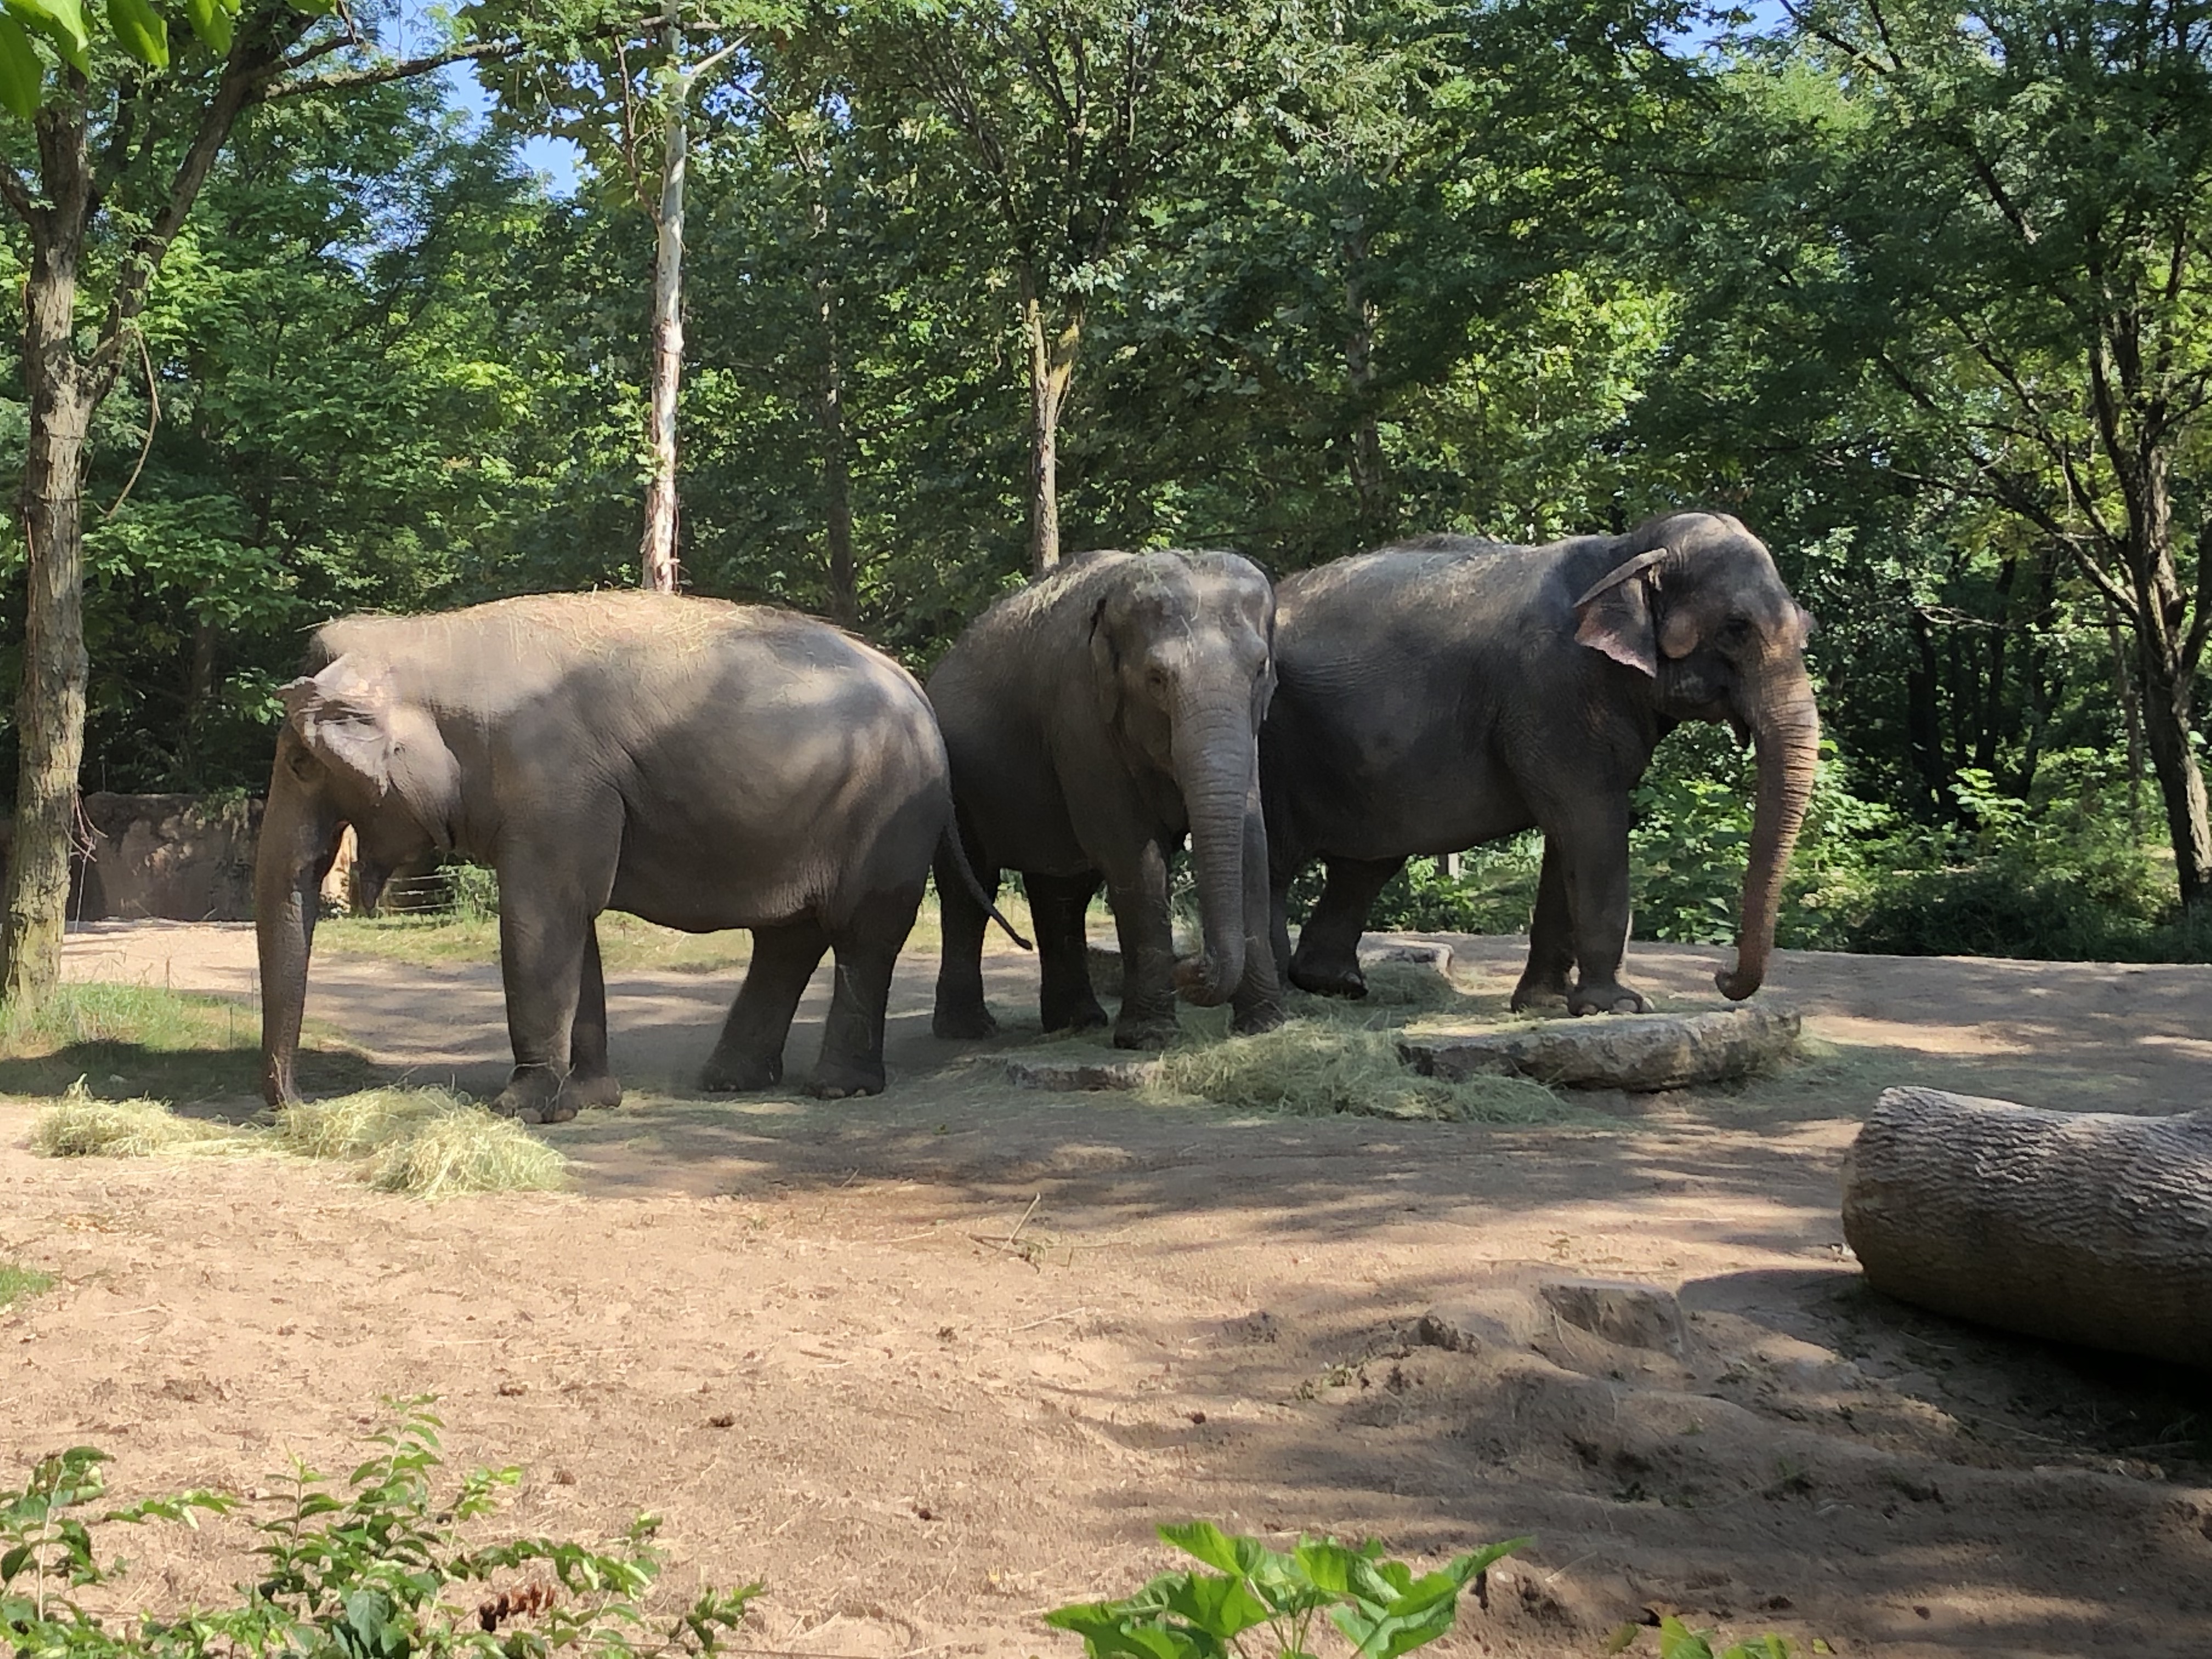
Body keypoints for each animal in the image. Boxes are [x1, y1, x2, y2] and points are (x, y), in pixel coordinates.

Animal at [257, 590, 991, 1119]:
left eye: (300, 763)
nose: (296, 1107)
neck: (424, 638)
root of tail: (919, 690)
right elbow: (573, 924)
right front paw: (586, 1103)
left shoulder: (557, 787)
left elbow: (541, 921)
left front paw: (518, 1109)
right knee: (788, 938)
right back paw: (730, 1082)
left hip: (889, 816)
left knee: (863, 934)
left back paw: (837, 1089)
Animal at [928, 549, 1286, 1048]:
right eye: (1156, 679)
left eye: (1259, 671)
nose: (1191, 969)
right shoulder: (1080, 717)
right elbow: (1132, 855)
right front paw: (1149, 1037)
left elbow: (1253, 843)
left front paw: (1266, 1024)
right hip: (955, 792)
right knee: (968, 892)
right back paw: (968, 1031)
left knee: (1061, 893)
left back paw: (1078, 1021)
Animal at [1260, 511, 1819, 1014]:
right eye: (1736, 629)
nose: (1722, 977)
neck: (1625, 552)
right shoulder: (1555, 687)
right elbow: (1590, 820)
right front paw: (1621, 1007)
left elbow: (1567, 835)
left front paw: (1545, 1005)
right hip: (1272, 746)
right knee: (1279, 862)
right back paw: (1284, 992)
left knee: (1367, 863)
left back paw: (1335, 985)